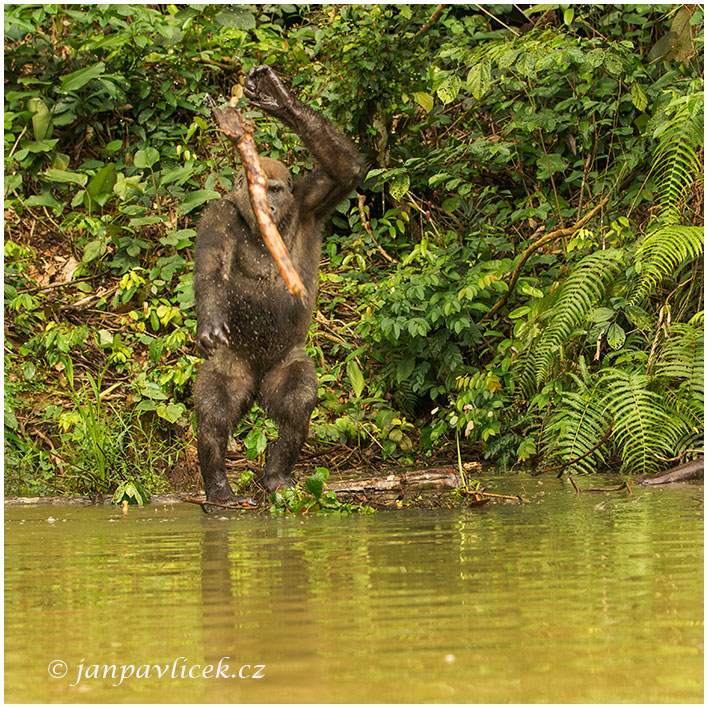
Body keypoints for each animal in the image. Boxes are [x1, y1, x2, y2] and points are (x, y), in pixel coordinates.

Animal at [192, 63, 366, 500]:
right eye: (257, 188)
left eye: (275, 189)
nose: (267, 205)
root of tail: (255, 386)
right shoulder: (217, 214)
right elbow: (209, 268)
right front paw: (209, 321)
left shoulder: (310, 199)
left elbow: (346, 170)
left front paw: (279, 99)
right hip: (233, 365)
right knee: (216, 408)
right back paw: (218, 486)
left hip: (284, 362)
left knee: (295, 402)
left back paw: (275, 475)